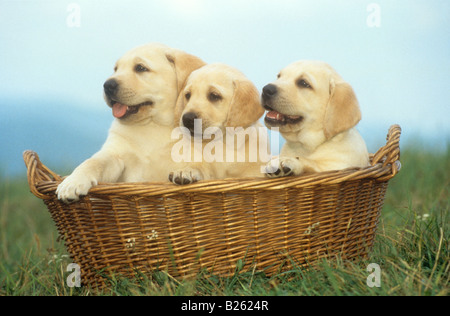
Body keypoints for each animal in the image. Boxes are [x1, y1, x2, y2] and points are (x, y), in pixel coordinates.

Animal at [56, 42, 206, 202]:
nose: (107, 85)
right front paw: (72, 182)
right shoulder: (115, 155)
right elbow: (93, 162)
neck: (153, 124)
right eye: (116, 69)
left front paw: (187, 173)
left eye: (140, 68)